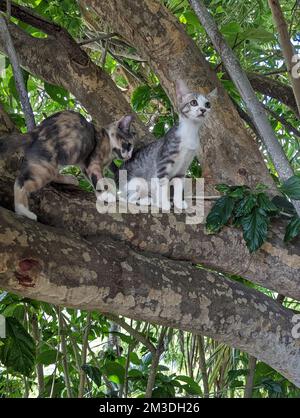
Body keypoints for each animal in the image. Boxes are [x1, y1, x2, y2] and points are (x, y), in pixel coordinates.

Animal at [0, 111, 134, 222]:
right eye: (128, 144)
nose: (129, 156)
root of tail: (35, 131)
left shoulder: (85, 166)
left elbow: (95, 181)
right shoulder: (93, 164)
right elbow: (99, 180)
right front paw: (107, 195)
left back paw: (69, 179)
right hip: (47, 165)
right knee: (20, 182)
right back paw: (23, 211)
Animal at [114, 79, 213, 209]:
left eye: (208, 104)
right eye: (193, 102)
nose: (203, 110)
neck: (190, 131)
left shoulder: (183, 168)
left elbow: (178, 186)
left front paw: (178, 203)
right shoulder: (163, 162)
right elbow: (163, 185)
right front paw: (165, 204)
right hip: (138, 182)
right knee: (127, 199)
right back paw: (147, 201)